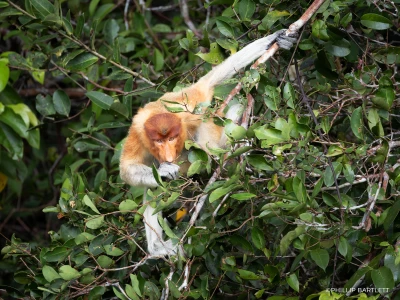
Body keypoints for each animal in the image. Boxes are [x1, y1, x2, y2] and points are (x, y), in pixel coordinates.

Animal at [119, 29, 296, 255]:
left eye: (172, 138)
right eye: (158, 141)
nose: (168, 154)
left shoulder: (188, 107)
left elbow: (208, 83)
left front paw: (274, 40)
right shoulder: (138, 131)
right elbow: (128, 168)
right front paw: (165, 171)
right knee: (153, 189)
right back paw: (158, 248)